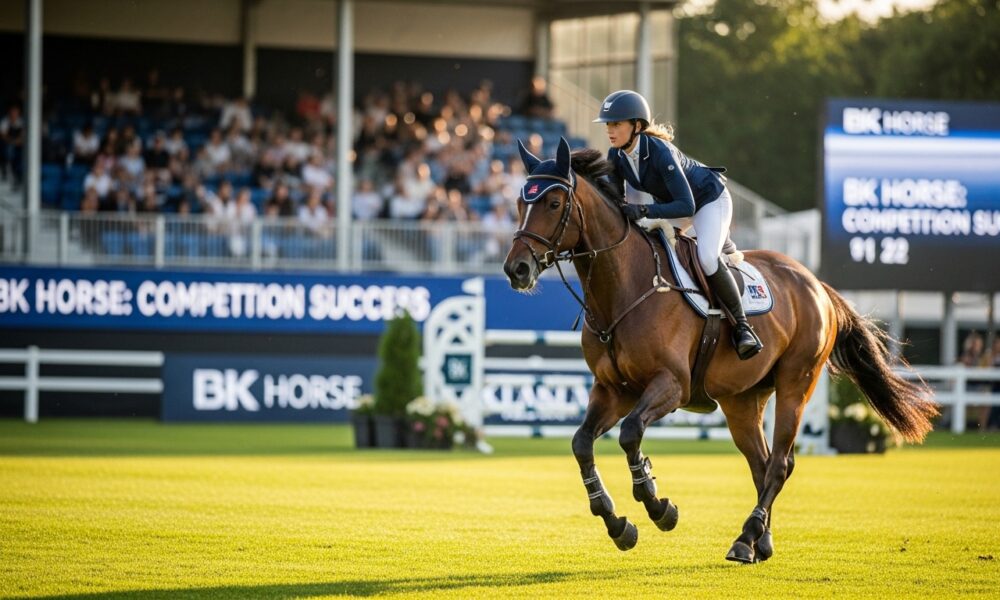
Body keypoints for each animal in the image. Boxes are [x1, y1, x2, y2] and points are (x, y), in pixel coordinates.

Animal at [502, 137, 938, 562]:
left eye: (553, 203)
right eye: (521, 204)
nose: (516, 270)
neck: (624, 287)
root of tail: (817, 284)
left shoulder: (671, 385)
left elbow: (630, 434)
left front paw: (658, 505)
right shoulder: (614, 390)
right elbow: (581, 443)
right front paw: (617, 523)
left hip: (797, 383)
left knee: (780, 463)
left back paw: (746, 540)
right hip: (742, 399)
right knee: (761, 462)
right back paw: (759, 541)